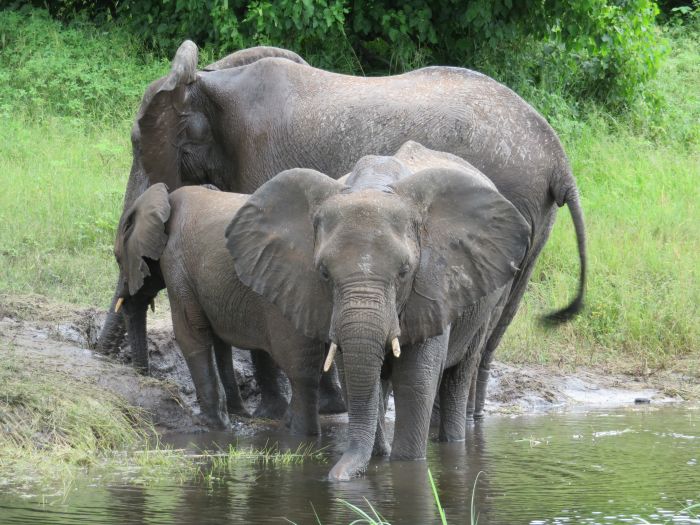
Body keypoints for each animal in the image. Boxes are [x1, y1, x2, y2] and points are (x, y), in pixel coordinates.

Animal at [113, 182, 326, 432]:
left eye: (118, 258)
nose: (144, 378)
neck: (163, 198)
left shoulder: (176, 263)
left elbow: (190, 334)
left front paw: (209, 424)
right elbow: (218, 341)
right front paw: (237, 413)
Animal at [224, 141, 536, 476]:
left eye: (404, 272)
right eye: (323, 273)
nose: (335, 477)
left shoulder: (432, 288)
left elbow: (416, 379)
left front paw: (406, 465)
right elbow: (354, 375)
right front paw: (378, 458)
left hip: (488, 302)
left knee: (461, 371)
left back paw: (451, 443)